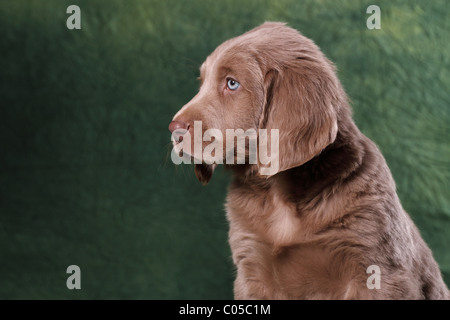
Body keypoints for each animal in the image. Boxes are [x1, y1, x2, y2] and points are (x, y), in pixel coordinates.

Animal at [169, 23, 450, 300]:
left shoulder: (377, 271)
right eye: (202, 83)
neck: (281, 195)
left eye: (231, 83)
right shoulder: (251, 266)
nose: (173, 129)